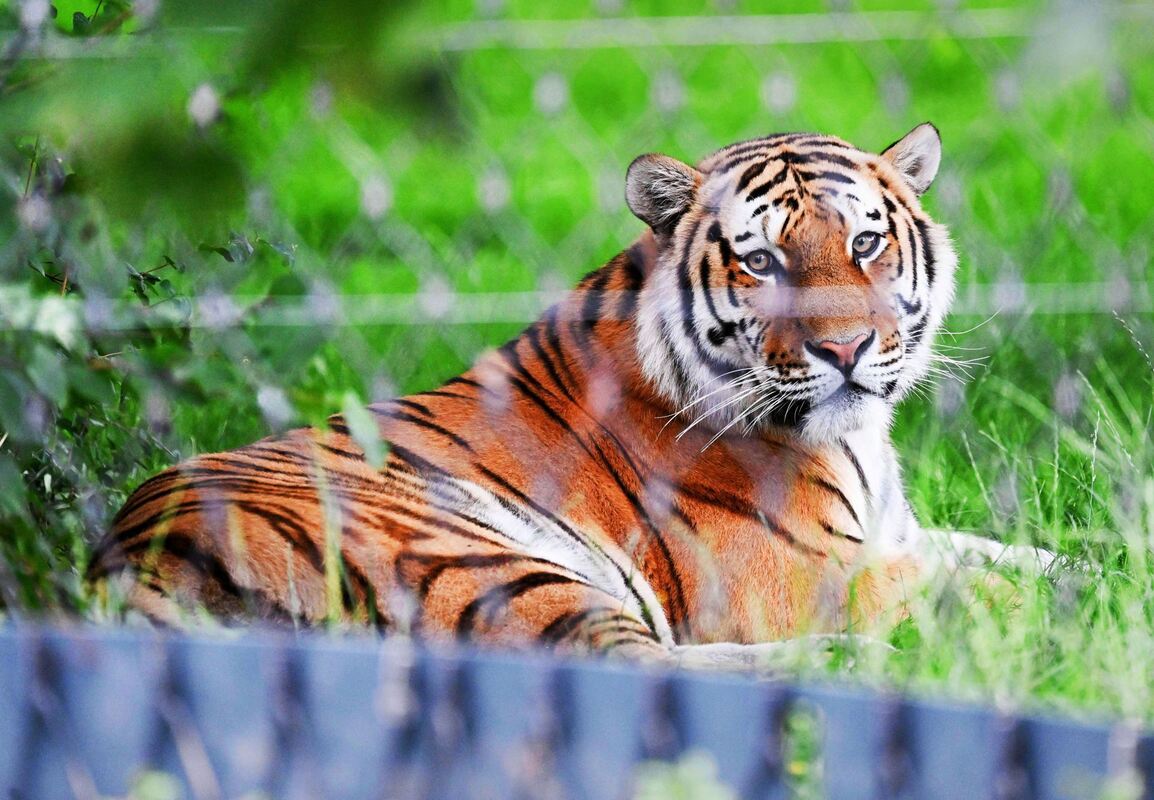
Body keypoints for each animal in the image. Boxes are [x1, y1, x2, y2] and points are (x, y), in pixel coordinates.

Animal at [88, 123, 1029, 668]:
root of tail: (119, 569)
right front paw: (1047, 612)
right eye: (761, 261)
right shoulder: (811, 573)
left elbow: (1013, 552)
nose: (845, 350)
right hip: (477, 559)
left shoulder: (897, 535)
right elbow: (985, 588)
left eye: (866, 244)